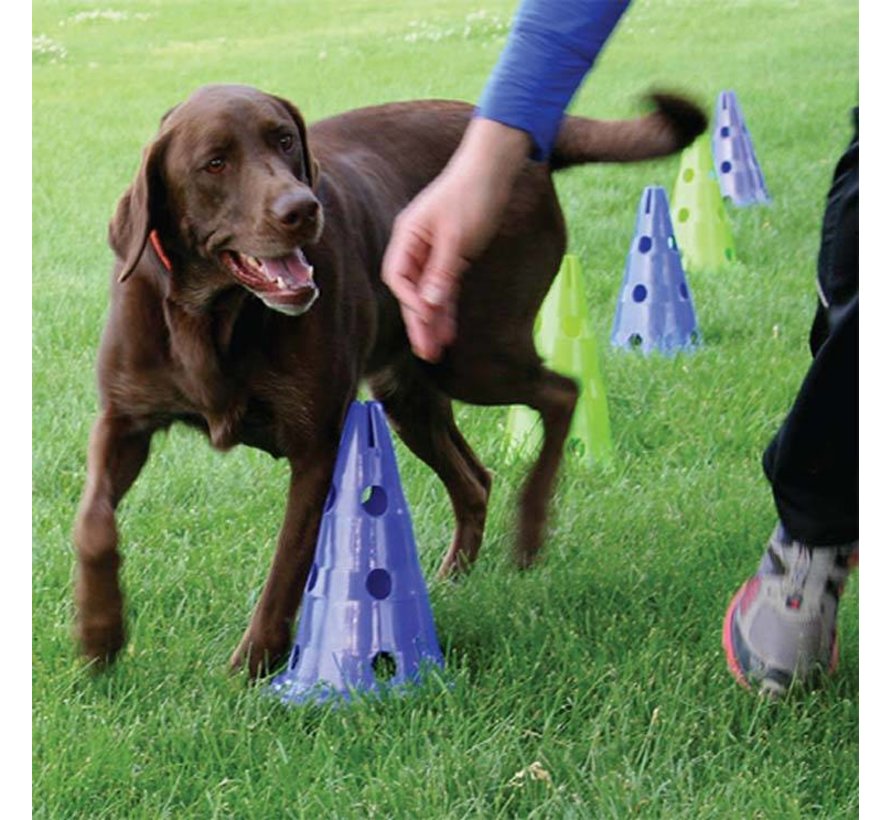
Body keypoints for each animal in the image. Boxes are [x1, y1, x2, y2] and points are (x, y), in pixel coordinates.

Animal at [73, 83, 704, 676]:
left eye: (285, 140)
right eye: (215, 163)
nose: (302, 209)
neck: (210, 316)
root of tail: (521, 141)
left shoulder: (316, 448)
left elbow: (285, 572)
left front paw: (249, 670)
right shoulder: (122, 421)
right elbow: (92, 523)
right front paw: (99, 635)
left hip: (472, 355)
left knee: (562, 392)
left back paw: (529, 529)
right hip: (410, 389)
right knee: (475, 478)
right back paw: (454, 573)